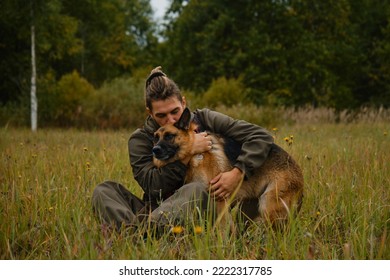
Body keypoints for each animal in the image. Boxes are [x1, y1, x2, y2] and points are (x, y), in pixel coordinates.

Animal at [152, 107, 304, 228]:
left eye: (169, 136)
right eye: (155, 138)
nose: (155, 150)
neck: (193, 155)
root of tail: (298, 171)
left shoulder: (219, 201)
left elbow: (222, 228)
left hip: (269, 207)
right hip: (247, 210)